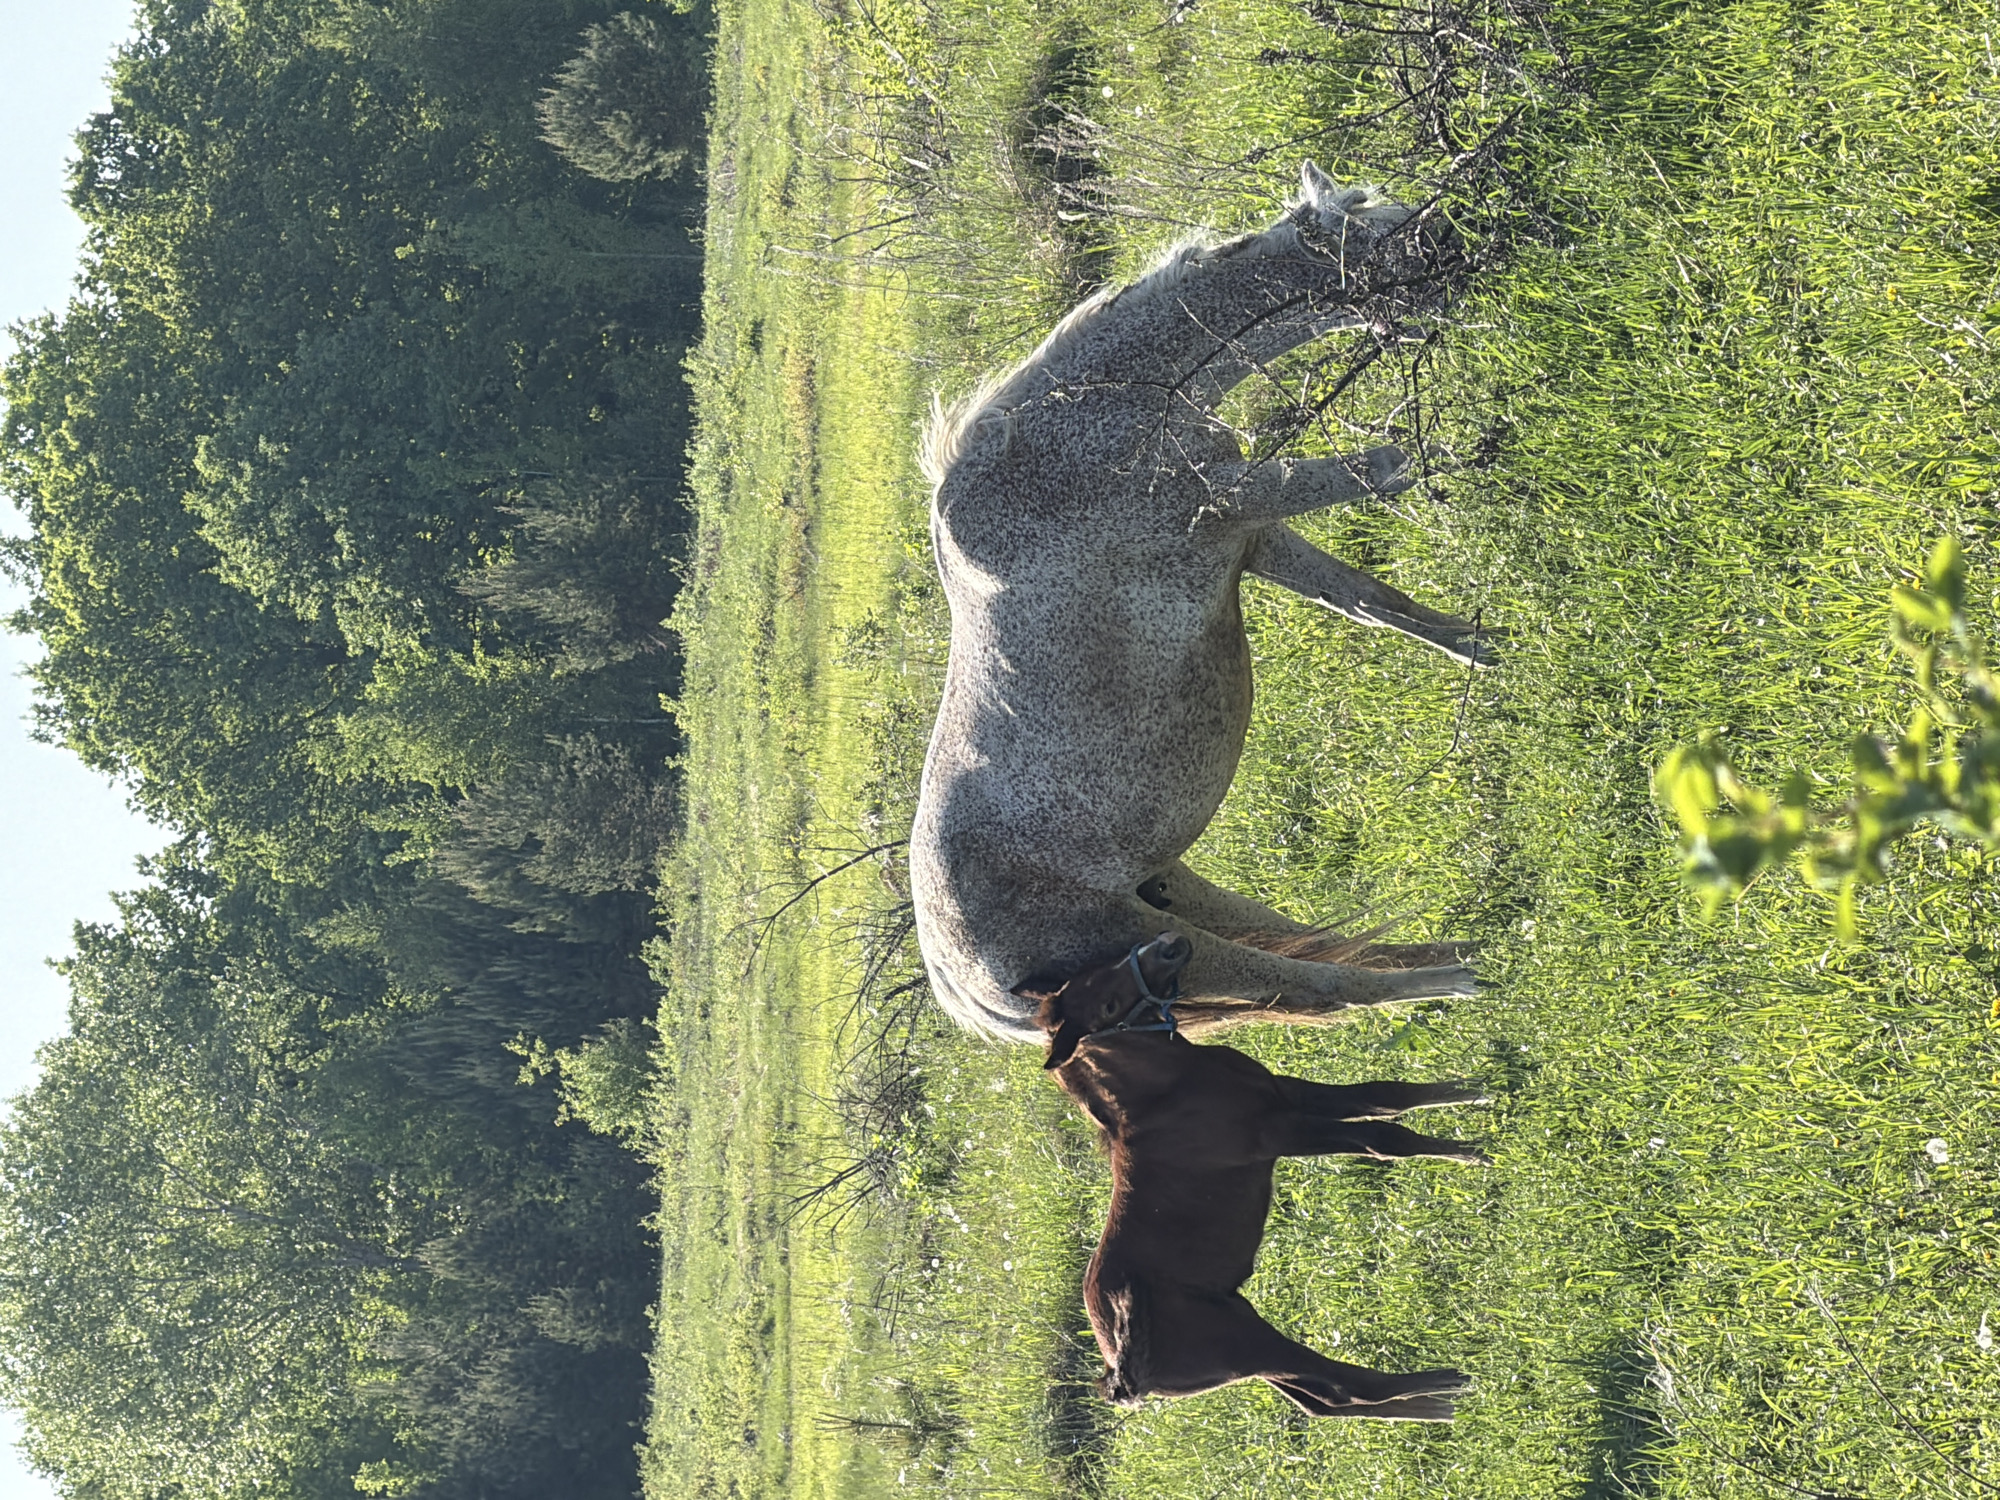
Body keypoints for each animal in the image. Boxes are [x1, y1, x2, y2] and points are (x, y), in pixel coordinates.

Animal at [911, 161, 1494, 1043]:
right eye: (1377, 226)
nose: (1463, 238)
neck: (1083, 432)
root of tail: (970, 991)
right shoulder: (1243, 501)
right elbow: (1390, 466)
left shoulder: (1247, 539)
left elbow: (1372, 602)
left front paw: (1489, 648)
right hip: (1173, 947)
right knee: (1327, 987)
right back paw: (1460, 979)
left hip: (1177, 889)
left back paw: (1471, 941)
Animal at [1031, 932, 1485, 1420]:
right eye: (1109, 1005)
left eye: (1099, 971)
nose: (1169, 945)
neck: (1162, 1097)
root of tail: (1118, 1368)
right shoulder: (1280, 1131)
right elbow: (1381, 1137)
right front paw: (1473, 1152)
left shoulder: (1285, 1093)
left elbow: (1383, 1095)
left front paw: (1468, 1090)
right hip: (1243, 1343)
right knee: (1346, 1390)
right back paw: (1451, 1388)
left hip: (1242, 1340)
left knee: (1319, 1399)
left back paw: (1436, 1404)